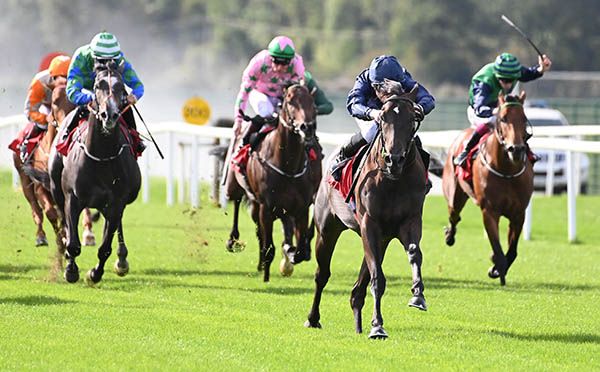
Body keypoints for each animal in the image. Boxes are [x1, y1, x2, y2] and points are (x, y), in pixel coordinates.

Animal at [48, 60, 141, 284]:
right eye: (98, 85)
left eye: (121, 87)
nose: (110, 114)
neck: (102, 157)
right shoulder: (72, 198)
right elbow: (72, 242)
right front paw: (71, 270)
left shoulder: (116, 202)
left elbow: (105, 248)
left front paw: (95, 273)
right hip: (56, 188)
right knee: (65, 226)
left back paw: (122, 260)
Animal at [225, 83, 318, 282]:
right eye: (290, 102)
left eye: (313, 103)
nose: (307, 127)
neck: (288, 166)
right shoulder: (267, 207)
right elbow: (269, 247)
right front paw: (266, 276)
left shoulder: (301, 209)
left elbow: (299, 249)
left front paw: (291, 253)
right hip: (236, 186)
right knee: (236, 203)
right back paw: (233, 241)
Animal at [304, 82, 426, 340]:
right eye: (382, 118)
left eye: (412, 118)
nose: (394, 159)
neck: (392, 179)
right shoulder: (370, 223)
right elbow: (377, 277)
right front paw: (378, 326)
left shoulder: (408, 221)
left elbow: (414, 253)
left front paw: (418, 295)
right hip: (327, 229)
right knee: (322, 274)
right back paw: (313, 318)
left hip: (380, 238)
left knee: (359, 285)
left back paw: (358, 322)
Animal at [440, 92, 536, 284]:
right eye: (503, 118)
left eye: (524, 118)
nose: (516, 149)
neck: (506, 171)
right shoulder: (490, 211)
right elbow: (498, 249)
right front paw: (497, 268)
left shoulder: (518, 213)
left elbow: (512, 252)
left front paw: (497, 268)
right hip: (454, 195)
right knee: (454, 216)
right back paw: (449, 235)